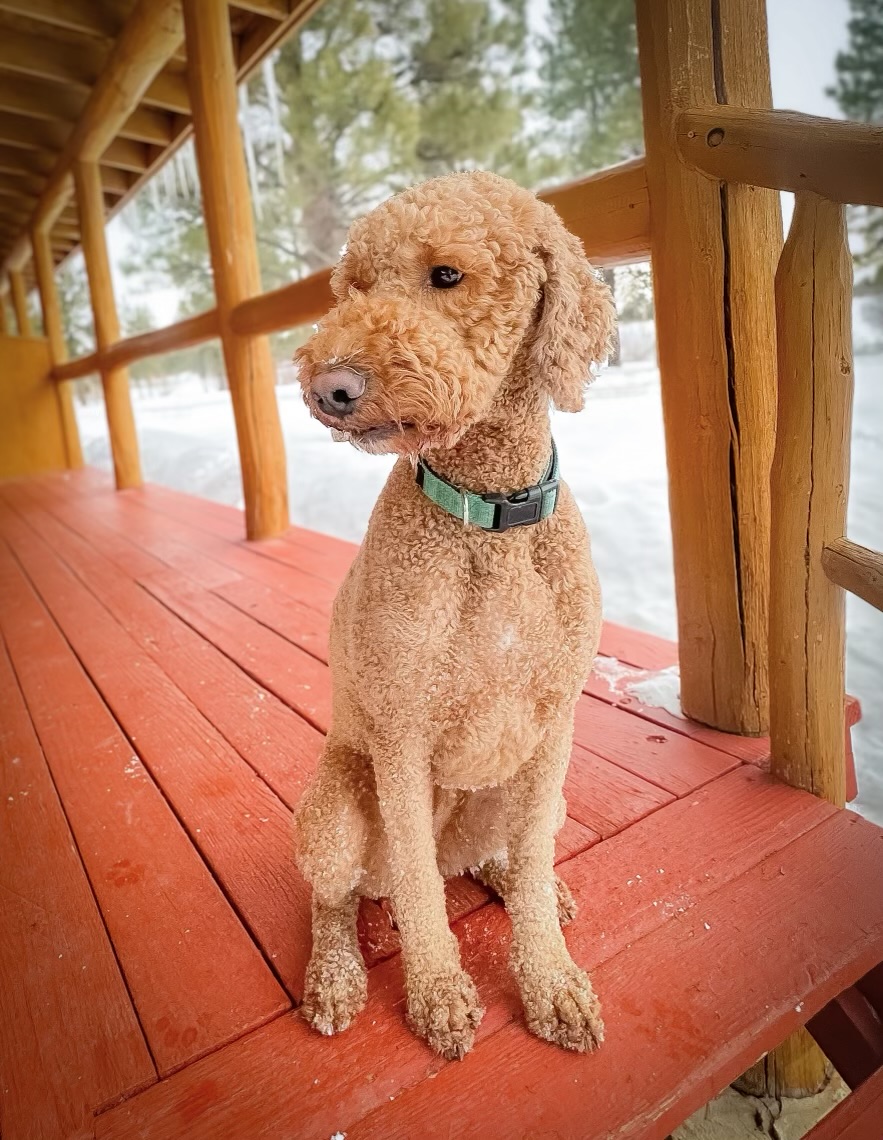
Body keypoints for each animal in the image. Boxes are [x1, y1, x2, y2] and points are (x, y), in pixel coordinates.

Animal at [290, 168, 615, 1057]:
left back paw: (518, 880)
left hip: (530, 790)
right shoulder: (404, 732)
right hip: (334, 815)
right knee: (344, 898)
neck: (485, 519)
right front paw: (436, 991)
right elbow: (413, 893)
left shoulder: (554, 724)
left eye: (446, 275)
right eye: (354, 286)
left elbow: (532, 867)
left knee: (499, 859)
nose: (329, 388)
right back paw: (334, 979)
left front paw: (551, 980)